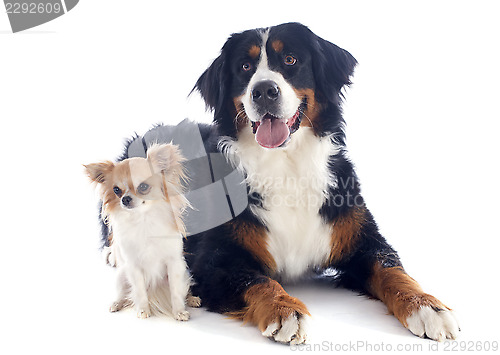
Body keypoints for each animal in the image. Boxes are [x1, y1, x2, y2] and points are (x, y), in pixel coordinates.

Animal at [84, 143, 199, 322]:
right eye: (116, 190)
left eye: (143, 187)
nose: (125, 199)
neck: (143, 220)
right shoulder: (133, 267)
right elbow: (139, 290)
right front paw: (143, 310)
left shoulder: (174, 263)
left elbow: (175, 291)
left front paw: (179, 311)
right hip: (121, 276)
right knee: (124, 293)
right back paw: (116, 303)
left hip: (184, 272)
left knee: (184, 290)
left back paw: (192, 299)